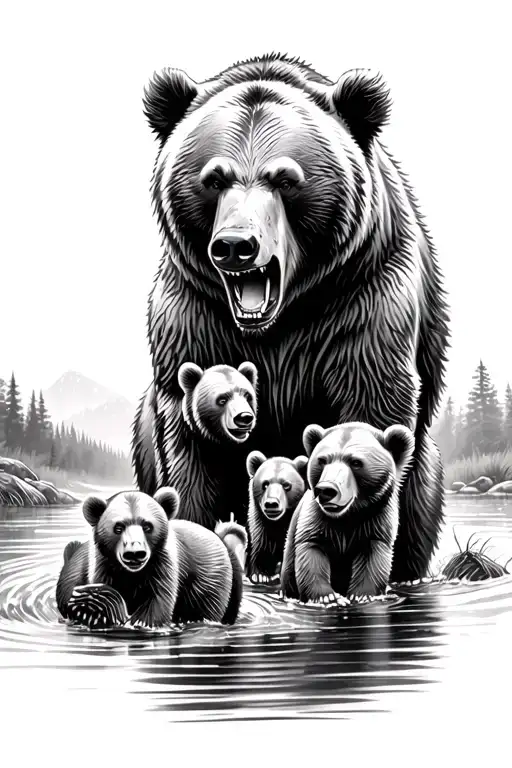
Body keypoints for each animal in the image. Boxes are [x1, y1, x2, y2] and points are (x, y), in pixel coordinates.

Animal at [56, 487, 245, 629]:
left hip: (210, 587)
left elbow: (152, 611)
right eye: (118, 527)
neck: (132, 574)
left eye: (147, 526)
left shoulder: (163, 568)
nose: (134, 553)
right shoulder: (105, 566)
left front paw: (97, 601)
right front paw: (91, 605)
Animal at [245, 450, 308, 583]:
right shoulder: (260, 522)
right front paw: (261, 575)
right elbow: (260, 543)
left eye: (286, 485)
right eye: (265, 484)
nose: (271, 503)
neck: (279, 522)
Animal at [280, 421, 415, 605]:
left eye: (356, 462)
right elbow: (311, 551)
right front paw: (328, 597)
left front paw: (361, 595)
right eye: (322, 460)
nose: (326, 490)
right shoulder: (316, 520)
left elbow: (373, 558)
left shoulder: (375, 521)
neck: (348, 516)